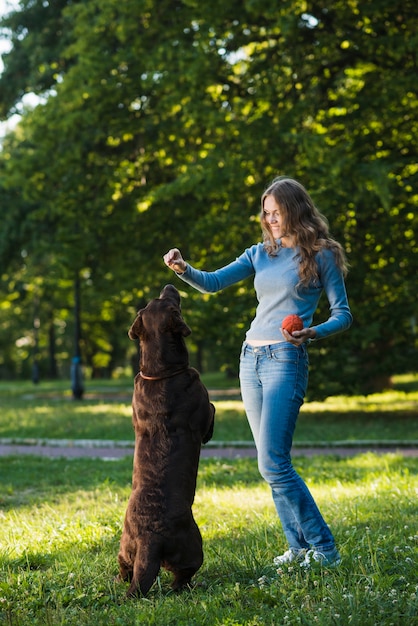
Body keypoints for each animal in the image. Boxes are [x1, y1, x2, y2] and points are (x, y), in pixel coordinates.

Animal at [117, 282, 216, 596]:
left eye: (153, 301)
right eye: (168, 301)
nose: (170, 284)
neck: (159, 372)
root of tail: (149, 538)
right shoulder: (204, 415)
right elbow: (211, 411)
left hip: (125, 547)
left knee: (125, 570)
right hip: (193, 547)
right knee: (181, 579)